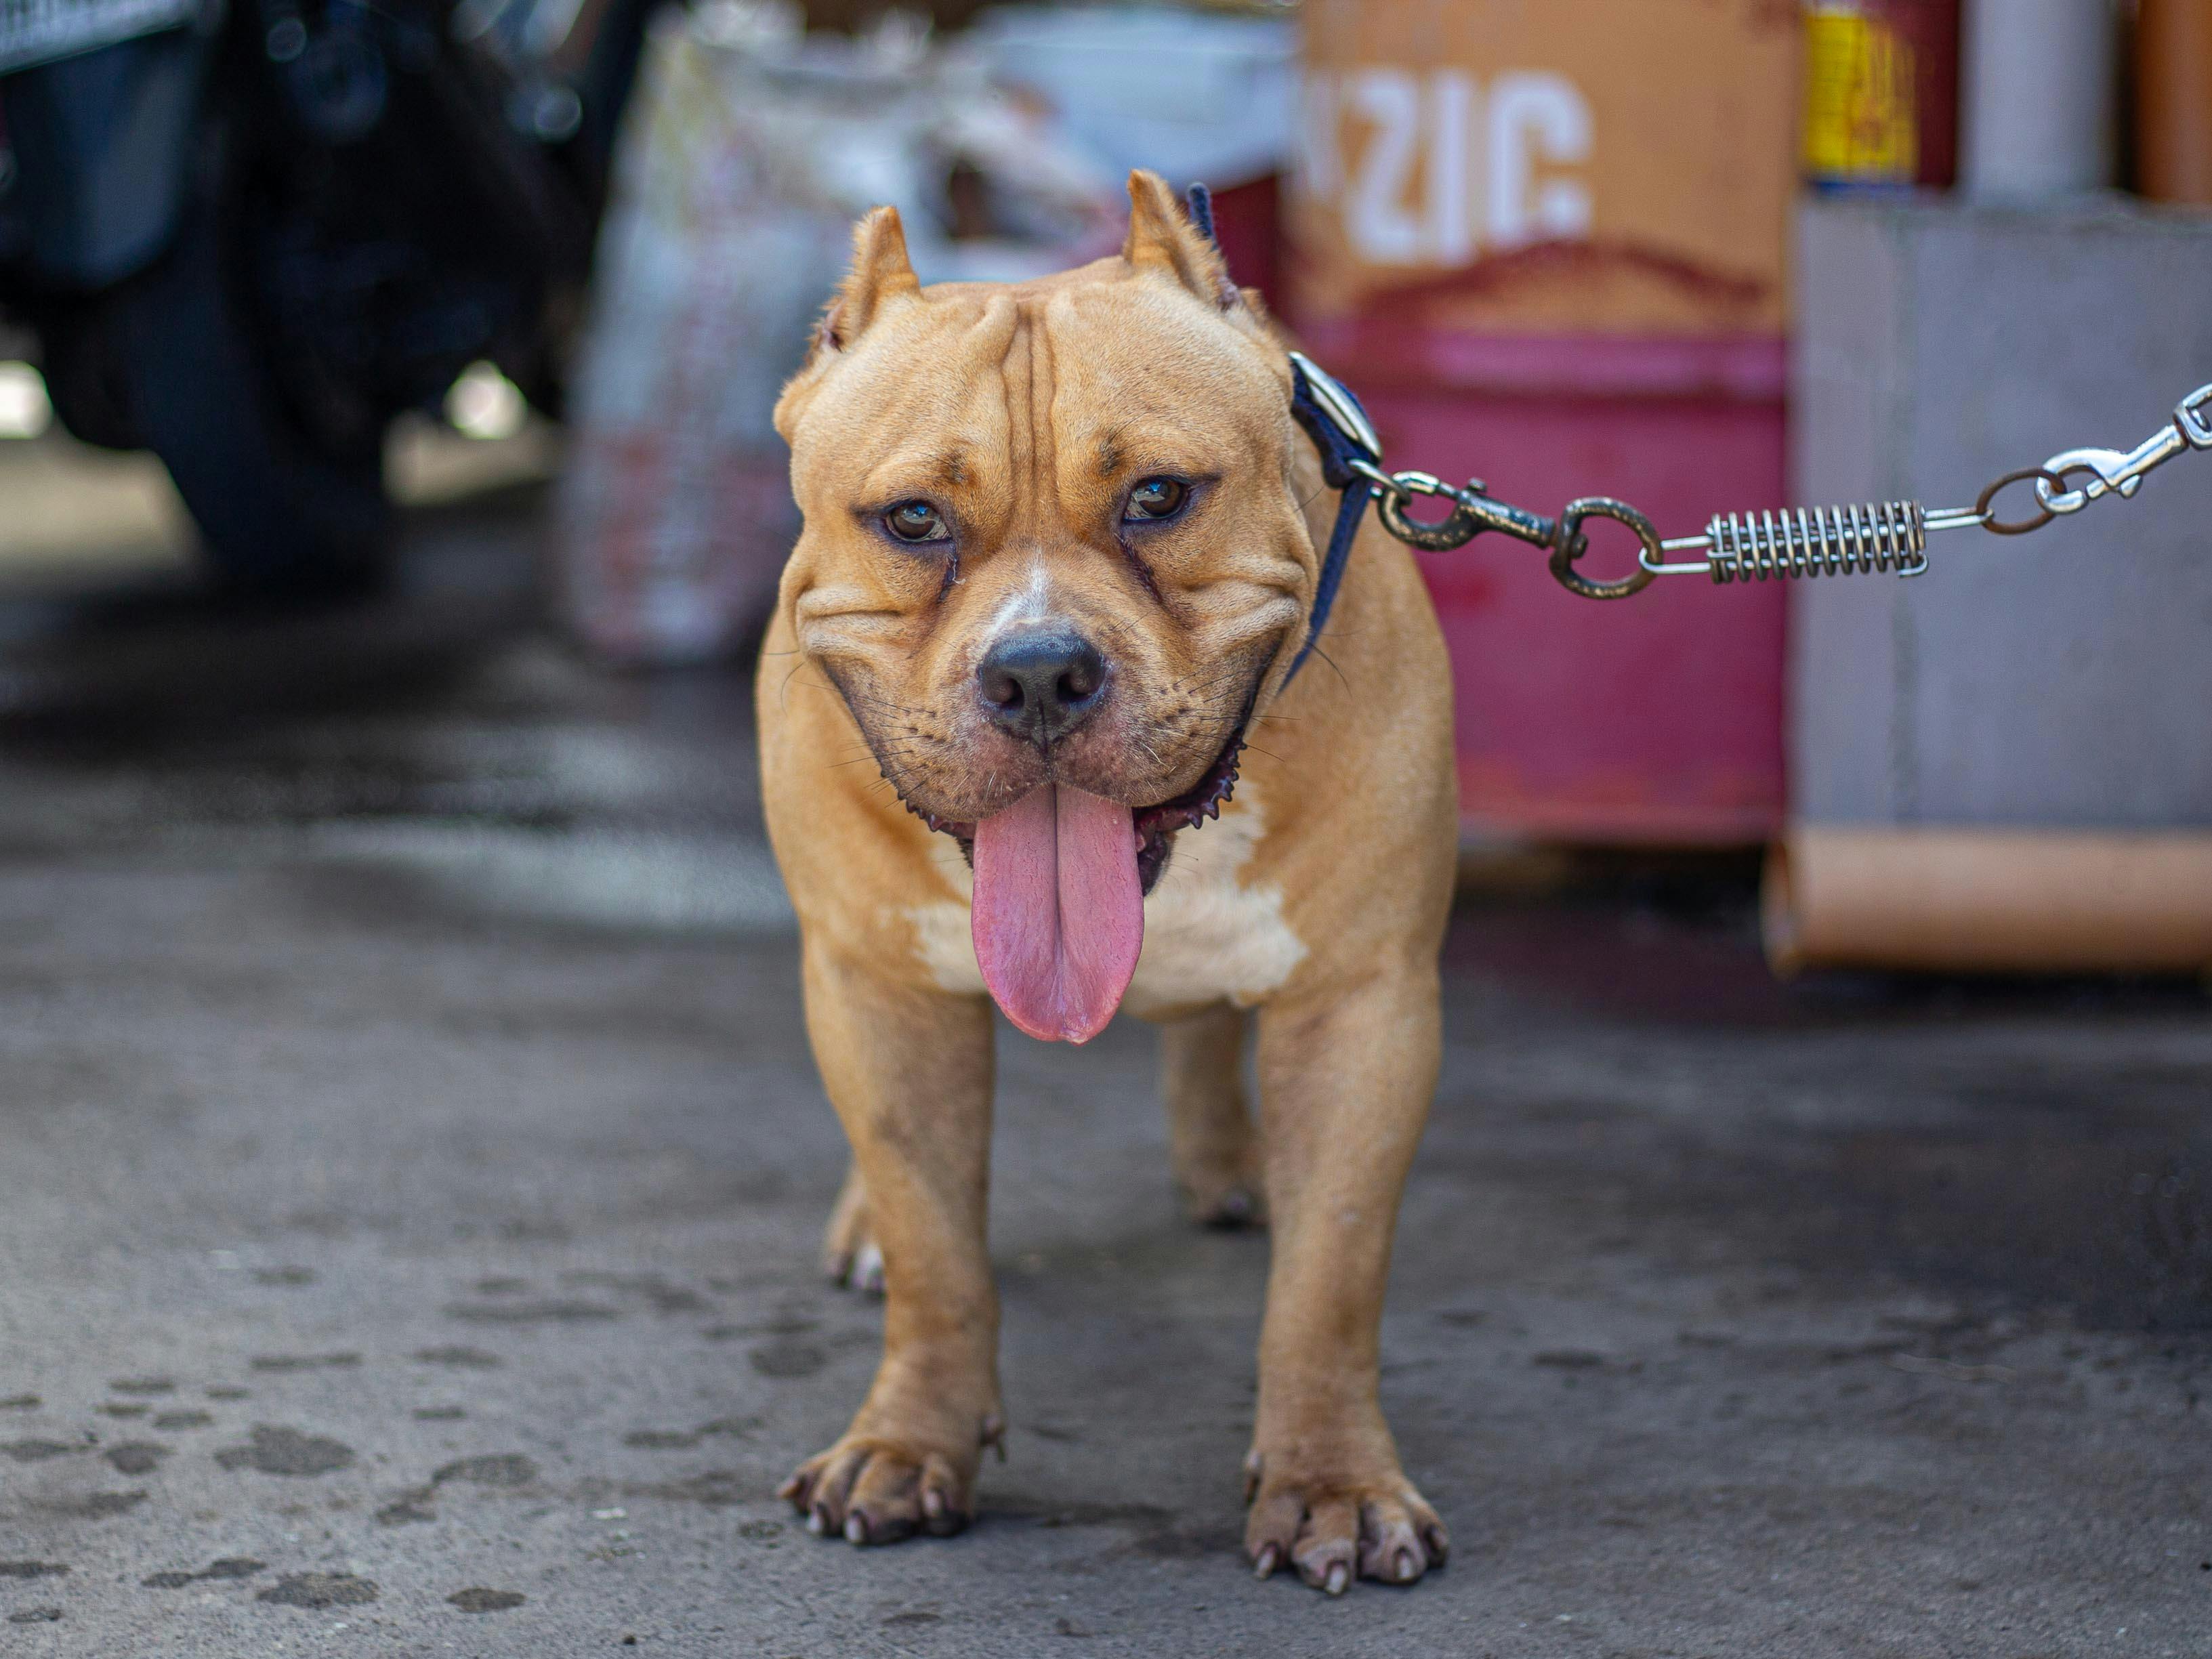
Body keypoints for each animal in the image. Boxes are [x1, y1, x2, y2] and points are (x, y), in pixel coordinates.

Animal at [761, 169, 1468, 1601]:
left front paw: (1332, 1478)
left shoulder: (1364, 1007)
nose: (1039, 669)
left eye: (1157, 496)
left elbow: (1330, 1274)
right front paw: (907, 1440)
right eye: (912, 520)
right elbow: (936, 1247)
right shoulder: (878, 988)